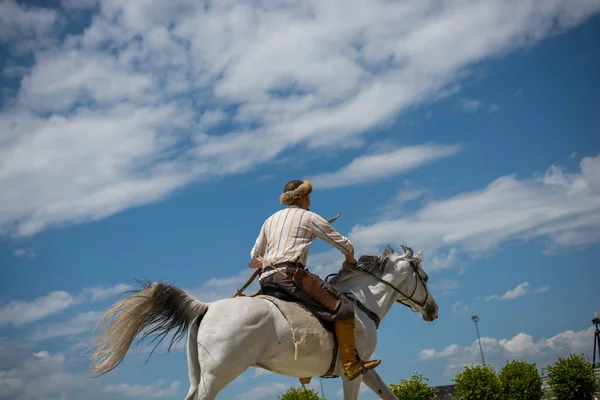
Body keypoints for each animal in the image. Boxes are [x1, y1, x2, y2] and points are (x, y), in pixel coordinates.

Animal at [86, 244, 438, 400]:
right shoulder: (352, 373)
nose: (433, 310)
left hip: (198, 378)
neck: (363, 304)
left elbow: (389, 395)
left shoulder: (366, 370)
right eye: (425, 278)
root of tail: (206, 307)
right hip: (217, 377)